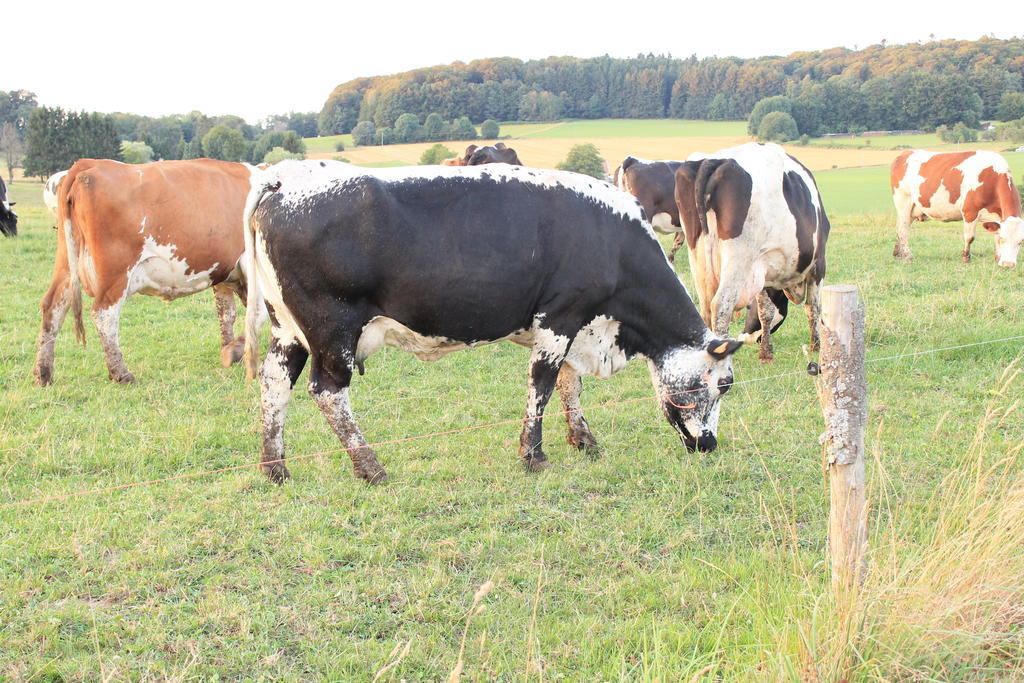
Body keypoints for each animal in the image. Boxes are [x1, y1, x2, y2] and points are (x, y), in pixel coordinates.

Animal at [35, 156, 266, 387]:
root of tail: (89, 163)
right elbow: (256, 313)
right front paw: (236, 351)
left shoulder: (224, 273)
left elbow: (227, 313)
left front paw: (229, 348)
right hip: (116, 272)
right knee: (104, 314)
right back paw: (121, 373)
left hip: (67, 263)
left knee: (53, 306)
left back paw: (43, 373)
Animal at [243, 158, 741, 485]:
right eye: (720, 384)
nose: (710, 445)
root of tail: (283, 177)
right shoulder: (561, 316)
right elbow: (543, 385)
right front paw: (534, 455)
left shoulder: (574, 324)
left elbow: (569, 384)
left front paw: (583, 440)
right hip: (333, 329)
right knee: (328, 391)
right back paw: (370, 467)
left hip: (287, 329)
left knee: (274, 383)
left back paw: (275, 466)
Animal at [671, 143, 831, 362]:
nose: (745, 338)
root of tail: (714, 161)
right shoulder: (819, 262)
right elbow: (813, 306)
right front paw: (817, 346)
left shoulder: (762, 267)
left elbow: (766, 311)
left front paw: (766, 353)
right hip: (738, 259)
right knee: (720, 306)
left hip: (698, 257)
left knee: (704, 310)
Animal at [888, 149, 1024, 266]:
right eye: (1003, 239)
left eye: (1021, 241)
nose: (1008, 264)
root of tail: (905, 153)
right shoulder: (969, 211)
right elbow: (969, 237)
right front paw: (966, 258)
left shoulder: (997, 216)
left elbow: (994, 236)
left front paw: (998, 257)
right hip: (903, 201)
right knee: (903, 229)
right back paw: (907, 256)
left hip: (912, 209)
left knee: (898, 227)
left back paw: (897, 254)